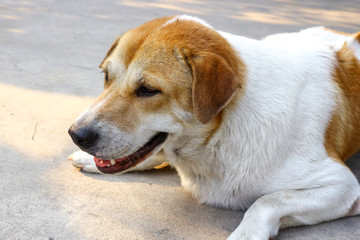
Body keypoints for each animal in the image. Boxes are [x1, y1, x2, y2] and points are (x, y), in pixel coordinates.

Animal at [68, 15, 360, 240]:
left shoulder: (344, 187)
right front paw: (89, 159)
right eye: (107, 76)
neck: (219, 136)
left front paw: (246, 234)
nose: (76, 135)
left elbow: (266, 201)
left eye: (149, 90)